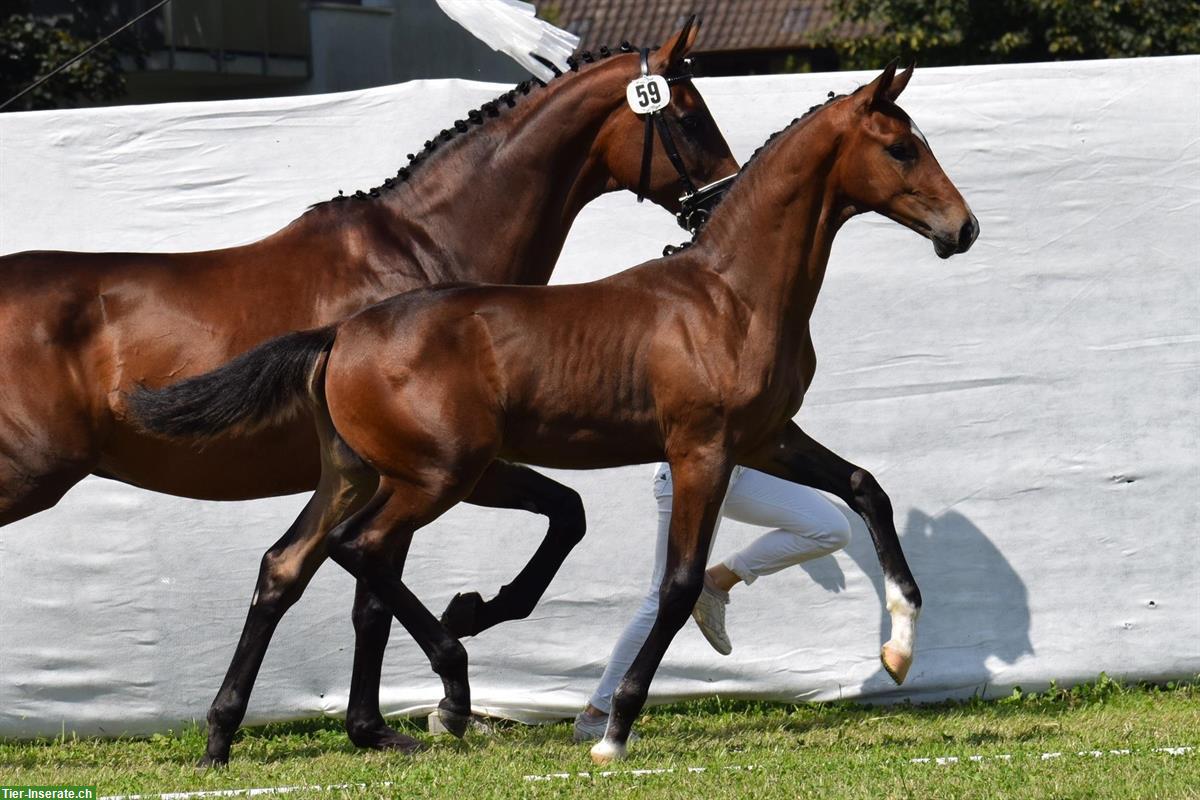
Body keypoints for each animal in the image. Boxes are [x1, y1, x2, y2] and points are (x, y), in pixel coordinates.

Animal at [136, 62, 974, 762]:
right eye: (902, 148)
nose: (961, 228)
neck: (731, 295)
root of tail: (339, 333)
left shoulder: (767, 438)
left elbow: (867, 488)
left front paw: (900, 647)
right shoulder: (702, 450)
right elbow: (677, 584)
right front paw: (616, 731)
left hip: (358, 473)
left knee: (292, 562)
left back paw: (226, 735)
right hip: (437, 477)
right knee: (361, 550)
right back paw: (452, 686)